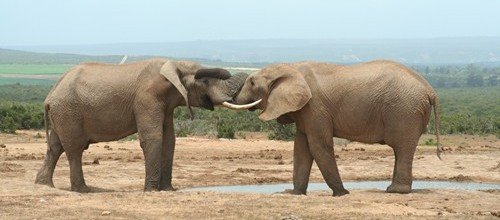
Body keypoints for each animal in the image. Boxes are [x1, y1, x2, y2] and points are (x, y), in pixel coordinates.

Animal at [33, 58, 248, 192]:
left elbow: (169, 140)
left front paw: (168, 190)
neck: (175, 65)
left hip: (62, 113)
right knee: (74, 148)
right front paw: (151, 190)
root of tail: (49, 96)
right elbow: (153, 138)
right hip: (68, 112)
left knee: (55, 147)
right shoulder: (147, 98)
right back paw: (83, 190)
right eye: (204, 81)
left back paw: (44, 185)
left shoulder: (165, 105)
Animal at [226, 59, 442, 196]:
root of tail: (430, 89)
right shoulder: (305, 110)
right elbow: (301, 148)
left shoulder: (315, 107)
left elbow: (318, 146)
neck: (291, 68)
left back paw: (396, 191)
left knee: (402, 147)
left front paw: (342, 194)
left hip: (404, 111)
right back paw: (392, 189)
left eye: (252, 82)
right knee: (401, 150)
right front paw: (294, 193)